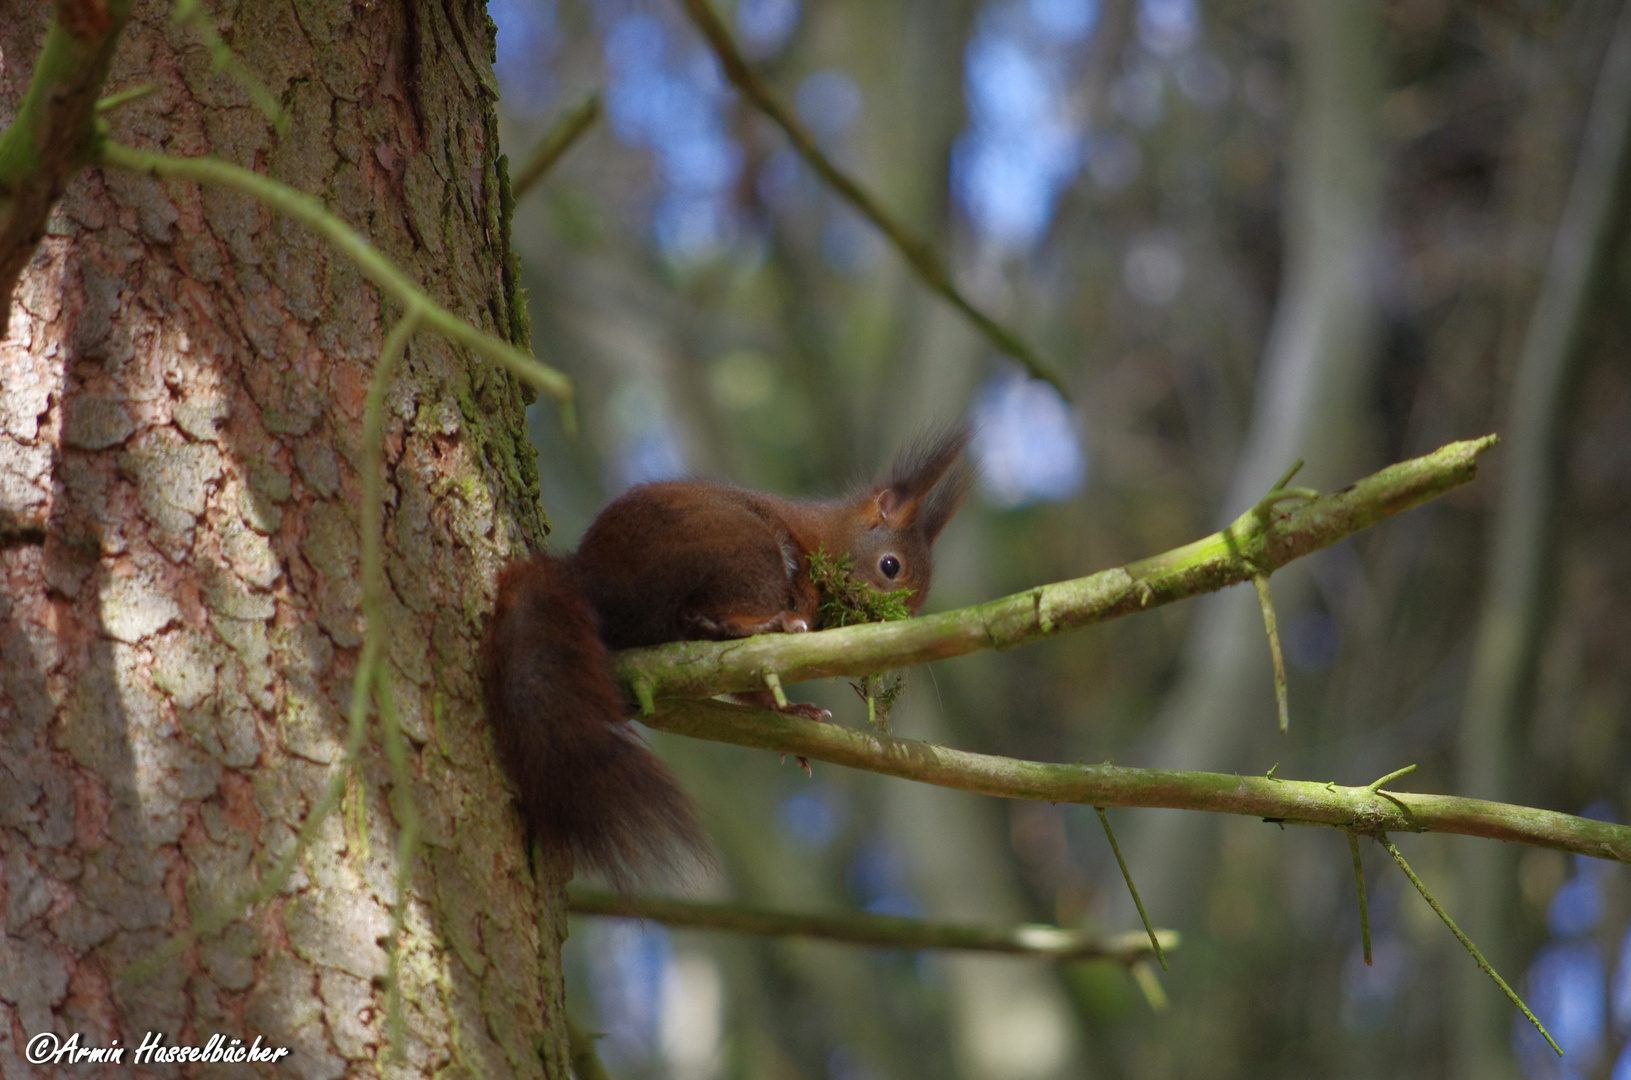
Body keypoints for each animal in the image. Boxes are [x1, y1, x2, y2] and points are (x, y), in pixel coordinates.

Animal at [479, 424, 965, 887]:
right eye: (890, 566)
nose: (895, 621)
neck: (826, 537)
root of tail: (589, 579)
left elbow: (749, 683)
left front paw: (790, 712)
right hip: (743, 552)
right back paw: (767, 623)